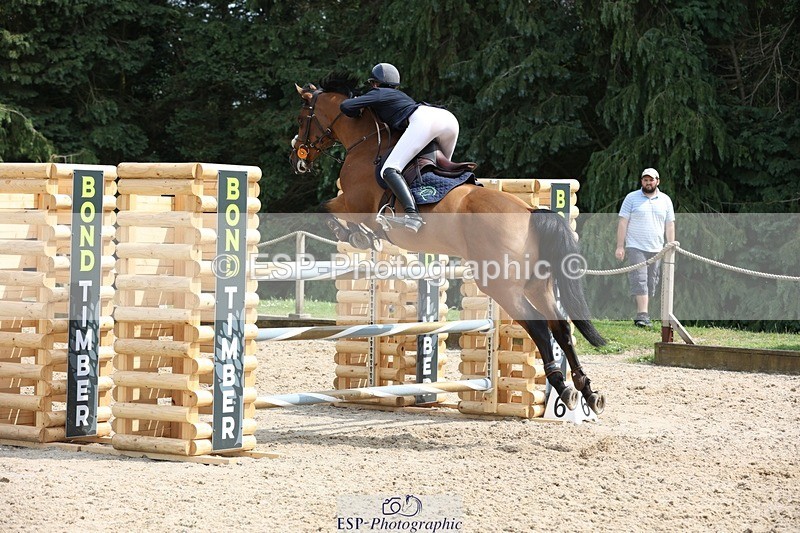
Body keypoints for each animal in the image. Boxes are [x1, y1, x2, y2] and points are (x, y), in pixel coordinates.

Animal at [289, 75, 606, 414]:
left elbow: (325, 208)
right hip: (537, 285)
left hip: (501, 286)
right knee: (560, 327)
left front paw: (355, 235)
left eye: (302, 117)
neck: (365, 143)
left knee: (539, 328)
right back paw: (587, 390)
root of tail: (530, 212)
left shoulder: (353, 202)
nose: (297, 158)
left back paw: (563, 386)